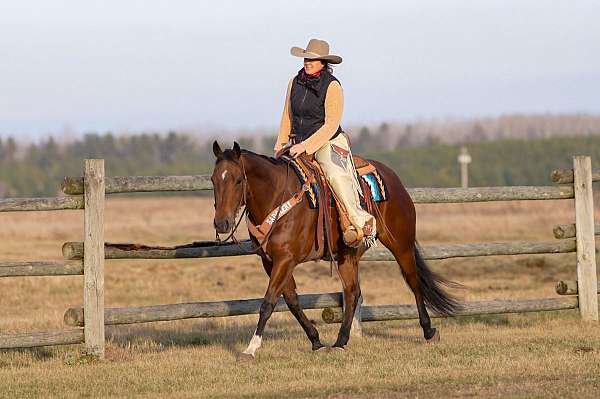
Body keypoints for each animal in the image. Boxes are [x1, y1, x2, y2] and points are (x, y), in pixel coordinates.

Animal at [211, 141, 460, 360]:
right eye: (213, 180)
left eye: (238, 180)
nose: (221, 223)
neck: (277, 198)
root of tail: (392, 176)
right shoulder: (271, 261)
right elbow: (291, 301)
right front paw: (316, 341)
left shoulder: (286, 259)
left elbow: (268, 302)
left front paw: (250, 349)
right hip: (348, 255)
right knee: (352, 292)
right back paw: (340, 342)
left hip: (401, 244)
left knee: (413, 282)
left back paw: (428, 331)